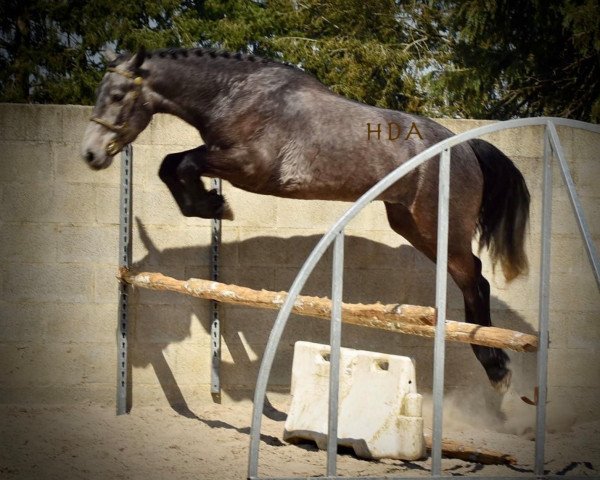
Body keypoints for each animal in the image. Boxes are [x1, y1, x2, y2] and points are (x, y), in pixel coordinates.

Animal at [82, 47, 528, 392]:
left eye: (118, 95)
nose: (91, 154)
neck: (235, 94)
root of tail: (466, 146)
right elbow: (170, 164)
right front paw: (208, 204)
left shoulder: (248, 166)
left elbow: (182, 162)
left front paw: (213, 205)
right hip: (412, 225)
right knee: (473, 277)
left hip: (438, 228)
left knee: (475, 279)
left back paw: (497, 367)